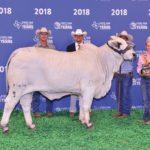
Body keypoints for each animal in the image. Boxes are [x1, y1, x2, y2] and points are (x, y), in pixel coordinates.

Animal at [0, 36, 135, 132]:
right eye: (119, 44)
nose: (134, 54)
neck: (101, 60)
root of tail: (19, 51)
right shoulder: (89, 88)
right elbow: (87, 106)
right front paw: (89, 123)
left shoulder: (82, 92)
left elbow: (81, 105)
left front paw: (82, 120)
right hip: (17, 88)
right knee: (9, 104)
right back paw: (5, 127)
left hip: (27, 90)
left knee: (26, 105)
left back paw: (31, 125)